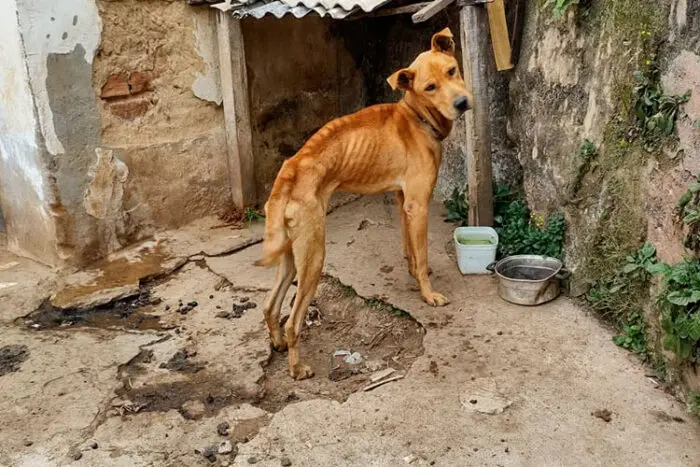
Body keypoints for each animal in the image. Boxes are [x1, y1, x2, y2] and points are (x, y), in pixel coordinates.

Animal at [256, 28, 470, 380]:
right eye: (430, 87)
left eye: (452, 70)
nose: (462, 102)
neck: (416, 116)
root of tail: (292, 167)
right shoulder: (419, 204)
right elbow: (423, 253)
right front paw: (428, 294)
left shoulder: (403, 202)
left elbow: (410, 249)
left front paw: (414, 273)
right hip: (314, 257)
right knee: (293, 321)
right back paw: (297, 368)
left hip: (291, 256)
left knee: (270, 306)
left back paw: (277, 343)